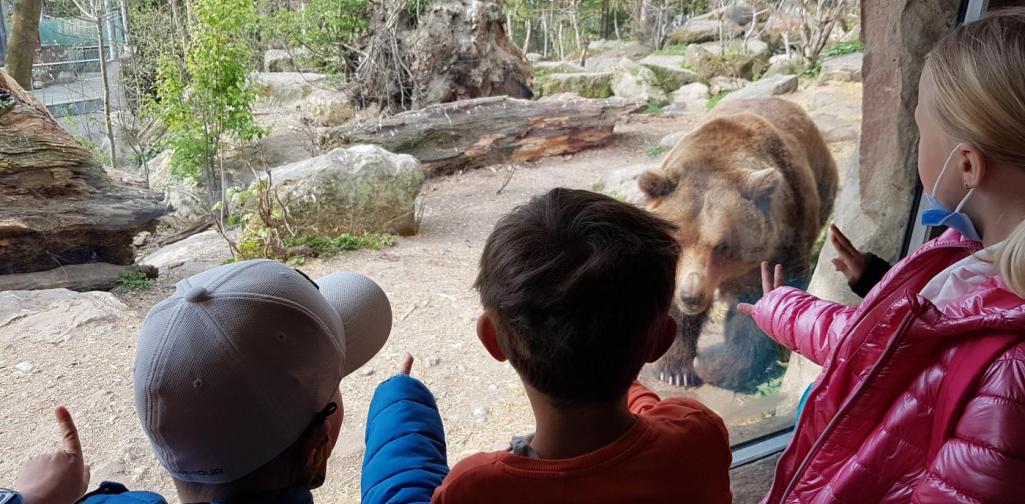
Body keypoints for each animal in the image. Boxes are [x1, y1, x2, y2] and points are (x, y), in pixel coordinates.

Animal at [638, 97, 838, 391]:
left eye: (722, 246)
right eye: (677, 240)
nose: (691, 296)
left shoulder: (780, 245)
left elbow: (754, 310)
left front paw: (708, 365)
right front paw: (675, 369)